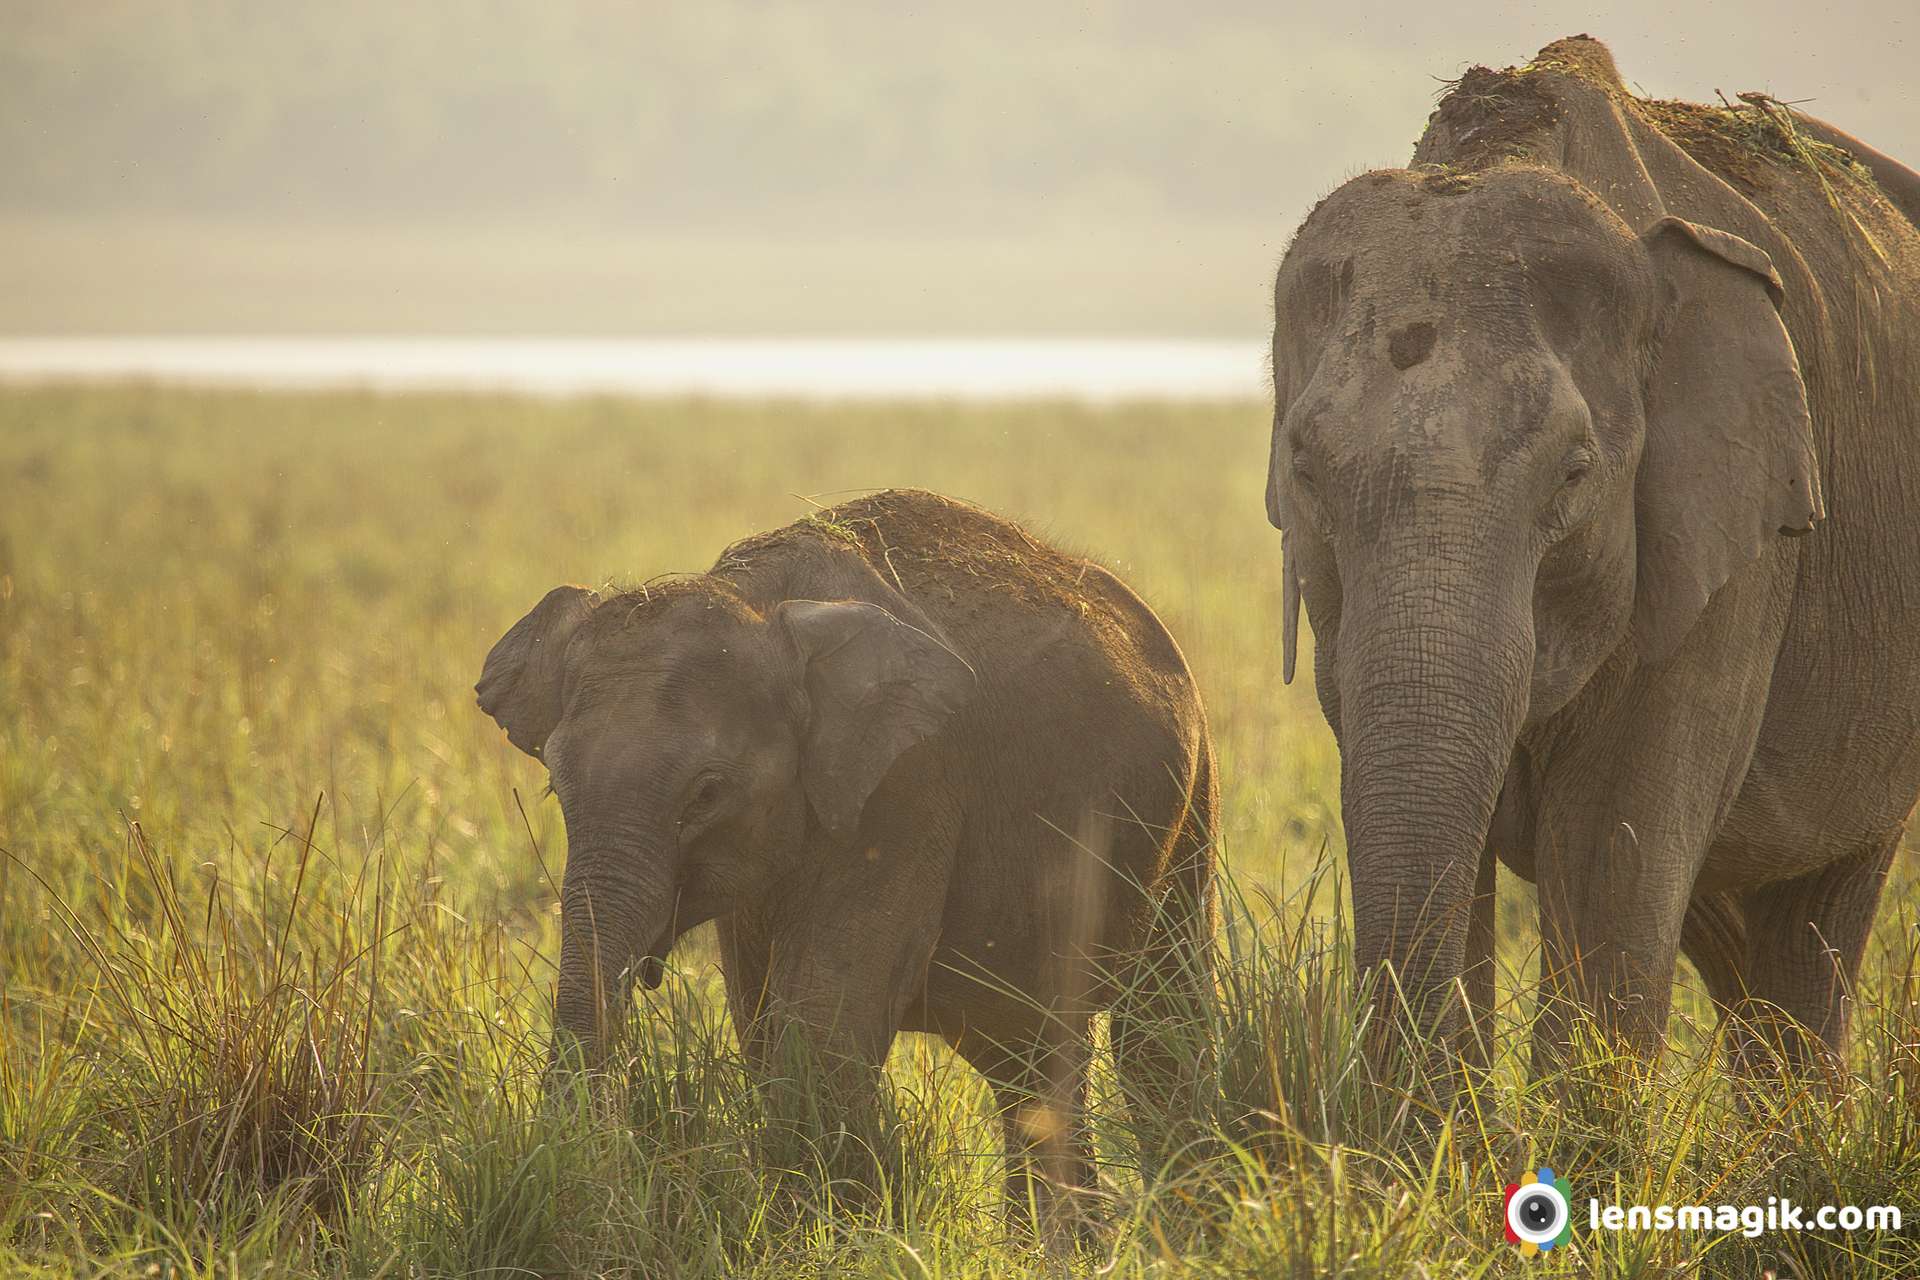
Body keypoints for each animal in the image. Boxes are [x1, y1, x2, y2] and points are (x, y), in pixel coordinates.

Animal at [476, 487, 1213, 1220]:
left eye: (706, 794)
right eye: (555, 783)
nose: (587, 1163)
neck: (757, 601)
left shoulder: (908, 787)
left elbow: (822, 1025)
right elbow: (761, 1025)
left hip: (1187, 811)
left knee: (1156, 1030)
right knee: (1026, 1059)